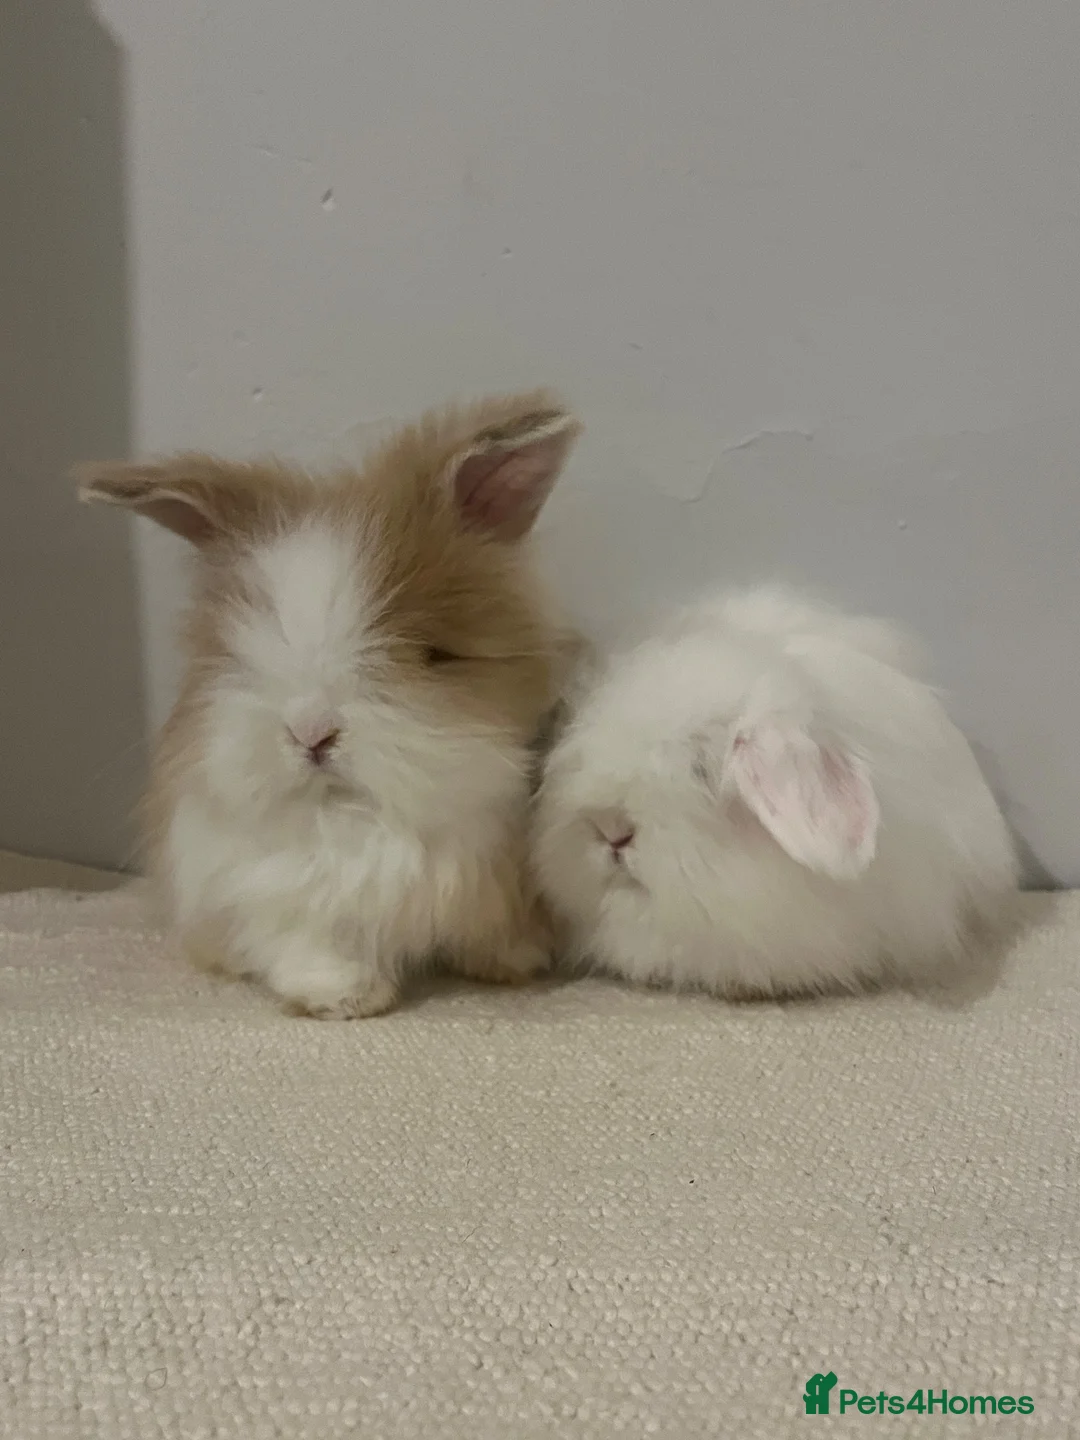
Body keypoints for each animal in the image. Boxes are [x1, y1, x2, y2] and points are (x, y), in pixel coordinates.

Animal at [77, 391, 582, 1018]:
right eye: (237, 652)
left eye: (432, 654)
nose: (311, 733)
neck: (358, 820)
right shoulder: (269, 894)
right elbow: (313, 939)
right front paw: (345, 997)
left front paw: (513, 963)